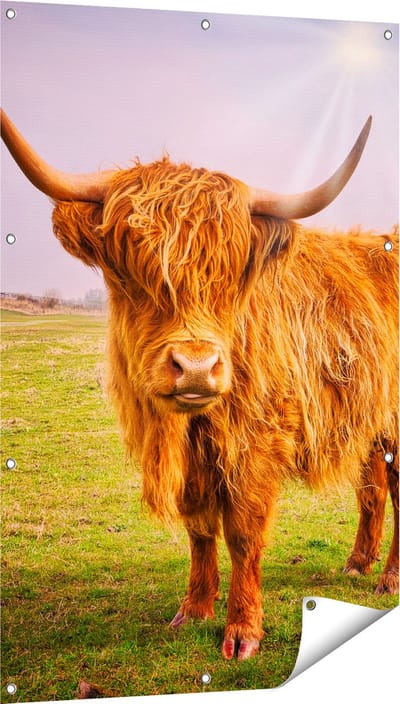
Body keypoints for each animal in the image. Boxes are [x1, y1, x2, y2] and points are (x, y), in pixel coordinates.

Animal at [1, 109, 398, 661]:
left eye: (231, 275)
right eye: (130, 270)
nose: (195, 366)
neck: (190, 428)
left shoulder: (256, 442)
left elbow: (243, 533)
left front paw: (243, 630)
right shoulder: (193, 460)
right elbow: (199, 527)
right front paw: (193, 610)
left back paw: (389, 578)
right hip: (370, 420)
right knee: (373, 489)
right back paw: (359, 563)